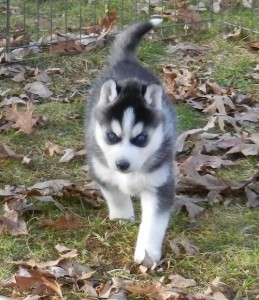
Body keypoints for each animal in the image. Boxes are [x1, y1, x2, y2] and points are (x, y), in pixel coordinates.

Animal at [86, 18, 178, 264]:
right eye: (111, 136)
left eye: (141, 139)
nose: (122, 165)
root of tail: (126, 61)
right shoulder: (101, 169)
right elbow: (115, 194)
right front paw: (122, 217)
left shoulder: (160, 184)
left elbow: (153, 223)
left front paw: (147, 253)